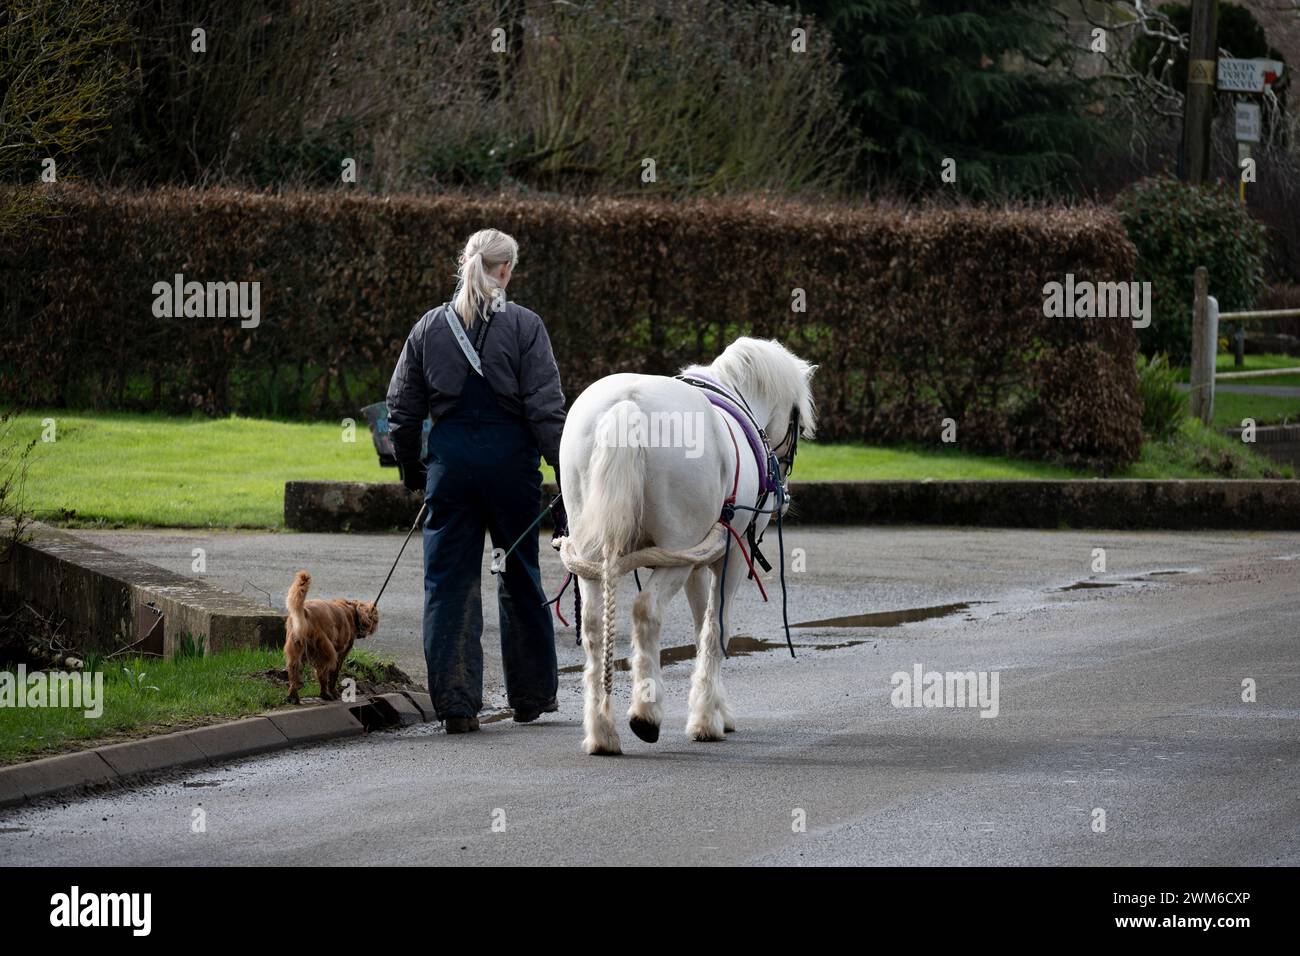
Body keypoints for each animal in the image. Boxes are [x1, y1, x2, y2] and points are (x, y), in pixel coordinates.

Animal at [286, 567, 379, 702]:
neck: (351, 610)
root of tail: (305, 611)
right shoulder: (341, 653)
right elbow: (334, 674)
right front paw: (334, 692)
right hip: (325, 651)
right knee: (322, 674)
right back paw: (326, 694)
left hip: (296, 649)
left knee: (294, 674)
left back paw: (293, 697)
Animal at [556, 335, 811, 754]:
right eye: (797, 422)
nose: (784, 493)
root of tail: (627, 405)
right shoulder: (730, 556)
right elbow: (716, 629)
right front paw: (707, 718)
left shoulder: (699, 558)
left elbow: (700, 625)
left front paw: (716, 707)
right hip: (676, 553)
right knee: (646, 610)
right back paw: (645, 713)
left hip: (595, 551)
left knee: (594, 624)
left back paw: (601, 731)